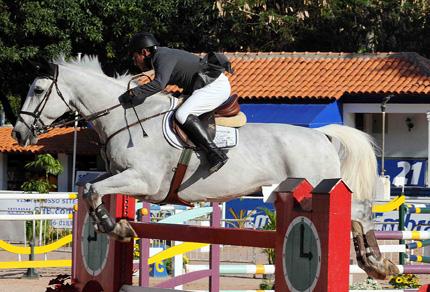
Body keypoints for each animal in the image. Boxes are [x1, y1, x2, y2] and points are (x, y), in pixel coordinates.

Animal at [11, 56, 398, 278]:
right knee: (359, 214)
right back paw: (376, 262)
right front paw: (115, 224)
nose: (18, 132)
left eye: (38, 90)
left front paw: (114, 227)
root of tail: (322, 135)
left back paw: (377, 264)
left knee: (361, 211)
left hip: (316, 186)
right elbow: (89, 188)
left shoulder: (143, 180)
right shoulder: (121, 174)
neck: (125, 117)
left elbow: (93, 189)